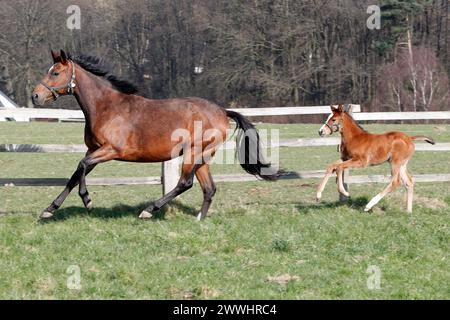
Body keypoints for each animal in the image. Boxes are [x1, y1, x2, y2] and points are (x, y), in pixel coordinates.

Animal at [31, 49, 280, 220]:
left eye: (55, 72)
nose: (35, 96)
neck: (106, 107)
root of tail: (222, 111)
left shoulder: (110, 150)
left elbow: (81, 167)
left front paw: (87, 200)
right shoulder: (94, 149)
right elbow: (75, 174)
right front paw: (49, 210)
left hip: (193, 153)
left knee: (185, 183)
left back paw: (149, 210)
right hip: (202, 157)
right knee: (209, 188)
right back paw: (199, 219)